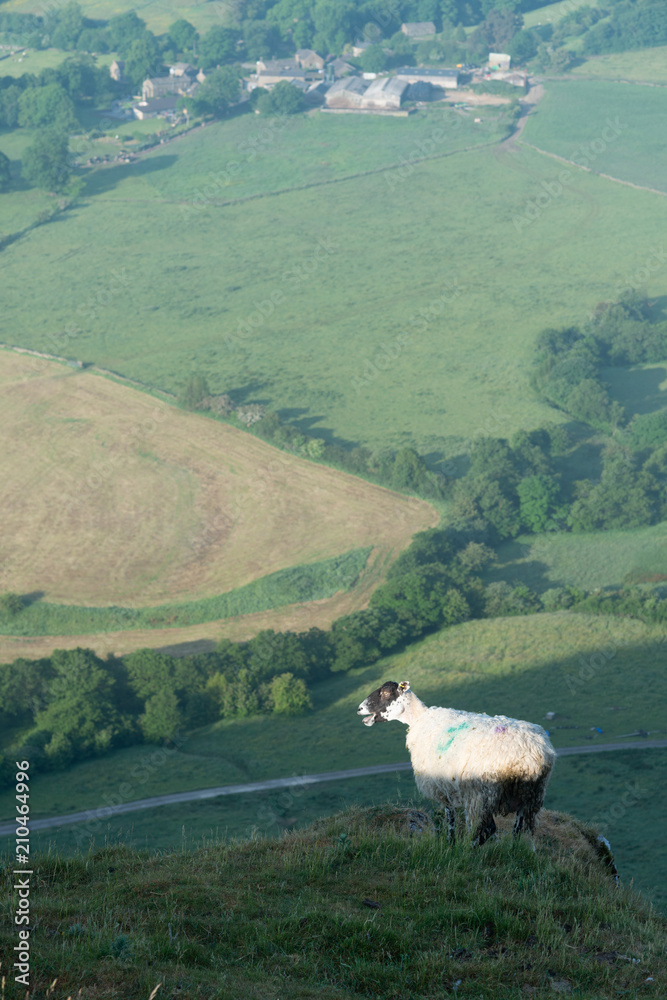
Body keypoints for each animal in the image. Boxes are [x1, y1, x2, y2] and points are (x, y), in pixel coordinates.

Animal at [357, 680, 556, 845]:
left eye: (385, 692)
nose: (359, 709)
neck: (419, 718)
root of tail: (530, 755)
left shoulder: (441, 784)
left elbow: (449, 816)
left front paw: (450, 844)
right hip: (529, 795)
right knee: (518, 830)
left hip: (483, 792)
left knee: (488, 829)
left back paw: (467, 849)